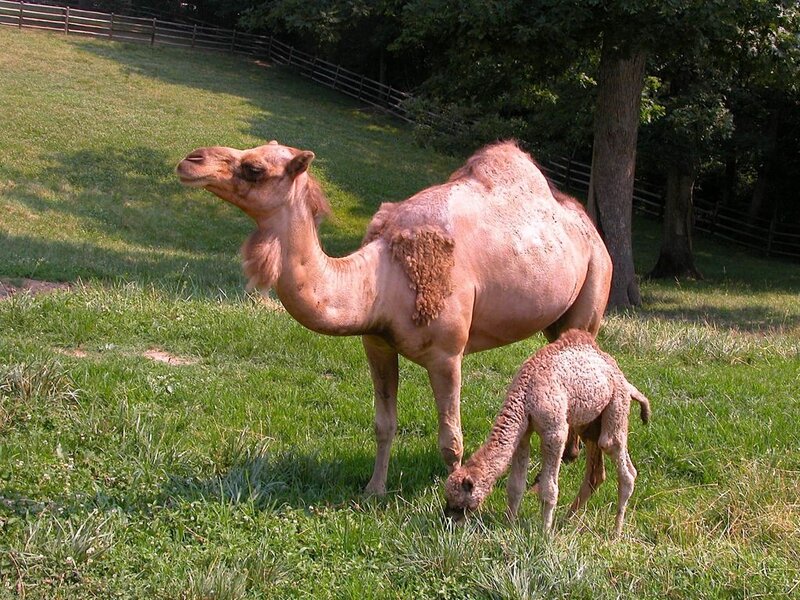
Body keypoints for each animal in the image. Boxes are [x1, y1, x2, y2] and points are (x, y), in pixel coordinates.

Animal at [175, 140, 612, 495]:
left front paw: (447, 499)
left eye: (254, 168)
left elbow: (451, 440)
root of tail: (589, 228)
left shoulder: (447, 354)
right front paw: (374, 490)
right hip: (557, 318)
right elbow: (384, 424)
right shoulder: (377, 343)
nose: (190, 160)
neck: (380, 279)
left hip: (594, 288)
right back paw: (566, 458)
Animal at [444, 330, 650, 536]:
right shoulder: (524, 432)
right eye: (447, 499)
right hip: (589, 423)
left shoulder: (554, 431)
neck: (525, 396)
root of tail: (624, 379)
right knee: (599, 473)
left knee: (621, 462)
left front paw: (544, 533)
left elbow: (549, 489)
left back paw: (616, 532)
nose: (448, 522)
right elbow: (515, 486)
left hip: (616, 406)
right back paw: (566, 519)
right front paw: (509, 524)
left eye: (460, 504)